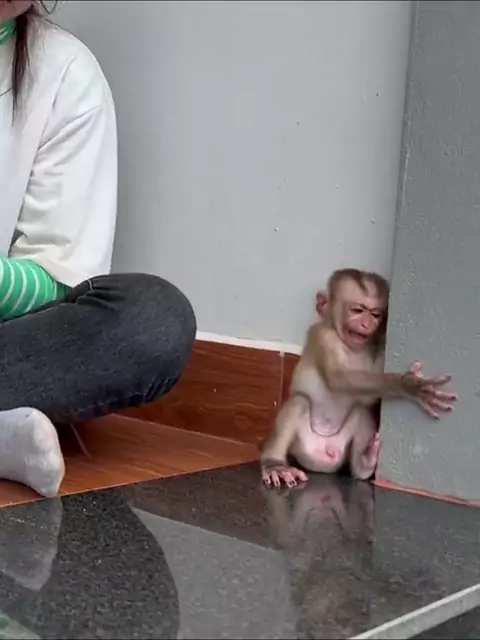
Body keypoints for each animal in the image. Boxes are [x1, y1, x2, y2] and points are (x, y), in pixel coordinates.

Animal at [261, 268, 458, 488]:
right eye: (357, 310)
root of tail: (323, 460)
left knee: (360, 411)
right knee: (299, 401)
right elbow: (339, 378)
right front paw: (409, 385)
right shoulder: (322, 336)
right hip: (302, 446)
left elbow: (367, 395)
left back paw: (365, 462)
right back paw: (274, 464)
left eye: (375, 314)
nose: (367, 324)